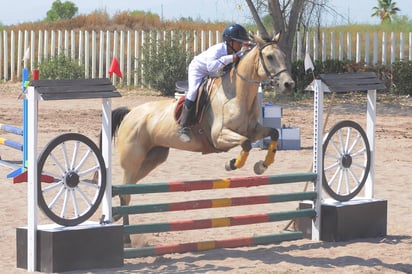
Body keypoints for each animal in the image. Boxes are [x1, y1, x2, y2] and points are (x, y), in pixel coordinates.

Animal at [109, 32, 294, 244]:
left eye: (284, 55)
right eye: (270, 57)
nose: (289, 85)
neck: (238, 94)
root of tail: (131, 113)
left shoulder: (254, 130)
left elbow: (274, 133)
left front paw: (261, 166)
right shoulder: (220, 137)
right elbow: (245, 144)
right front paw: (231, 164)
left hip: (153, 158)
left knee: (128, 188)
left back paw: (117, 219)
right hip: (133, 159)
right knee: (125, 193)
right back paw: (126, 237)